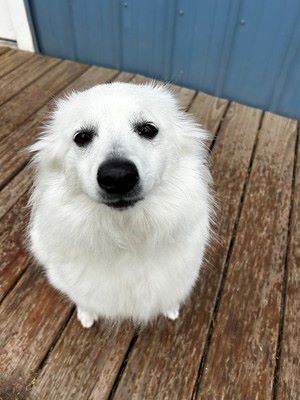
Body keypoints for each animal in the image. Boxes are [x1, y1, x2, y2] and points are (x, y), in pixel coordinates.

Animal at [27, 82, 211, 328]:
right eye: (82, 137)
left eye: (148, 129)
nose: (117, 177)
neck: (126, 235)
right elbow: (84, 300)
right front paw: (87, 315)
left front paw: (171, 308)